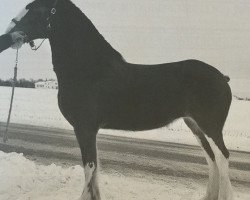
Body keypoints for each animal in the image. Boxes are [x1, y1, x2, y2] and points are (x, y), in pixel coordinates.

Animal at [2, 0, 234, 200]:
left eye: (34, 9)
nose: (8, 33)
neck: (88, 69)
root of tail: (222, 77)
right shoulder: (89, 130)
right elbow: (94, 167)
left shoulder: (84, 128)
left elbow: (90, 166)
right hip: (195, 125)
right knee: (211, 159)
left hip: (210, 127)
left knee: (222, 158)